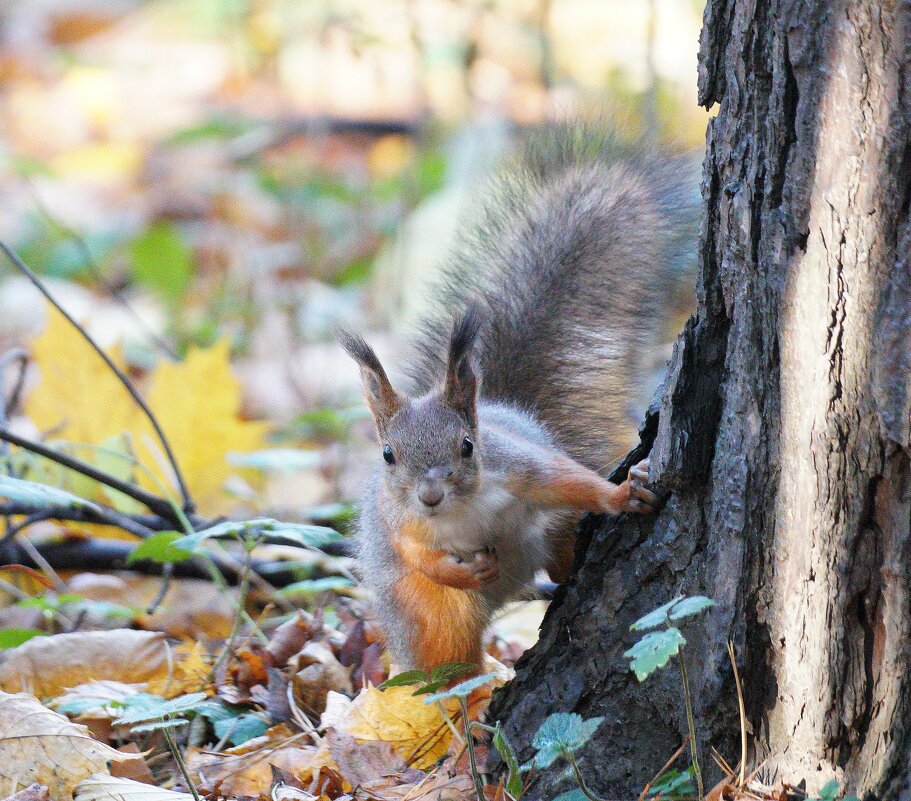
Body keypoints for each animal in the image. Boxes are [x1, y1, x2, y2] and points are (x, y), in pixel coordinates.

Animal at [338, 128, 696, 672]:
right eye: (387, 455)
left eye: (467, 446)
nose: (430, 496)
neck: (462, 510)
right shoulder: (398, 519)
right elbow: (418, 556)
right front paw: (464, 570)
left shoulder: (520, 467)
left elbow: (570, 481)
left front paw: (621, 495)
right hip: (433, 617)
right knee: (448, 660)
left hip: (554, 533)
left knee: (563, 550)